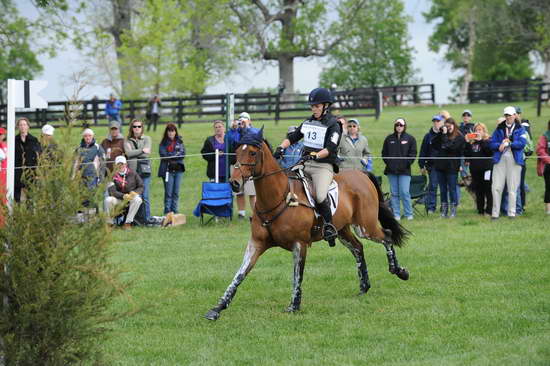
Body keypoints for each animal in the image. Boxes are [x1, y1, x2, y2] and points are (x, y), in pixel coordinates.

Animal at [206, 128, 410, 320]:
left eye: (253, 153)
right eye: (237, 151)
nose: (234, 182)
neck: (278, 197)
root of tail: (362, 174)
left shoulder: (300, 244)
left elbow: (298, 274)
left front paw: (293, 306)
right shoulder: (256, 244)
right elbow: (239, 275)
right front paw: (217, 308)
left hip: (365, 226)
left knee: (386, 236)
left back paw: (399, 271)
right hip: (342, 230)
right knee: (358, 248)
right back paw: (364, 287)